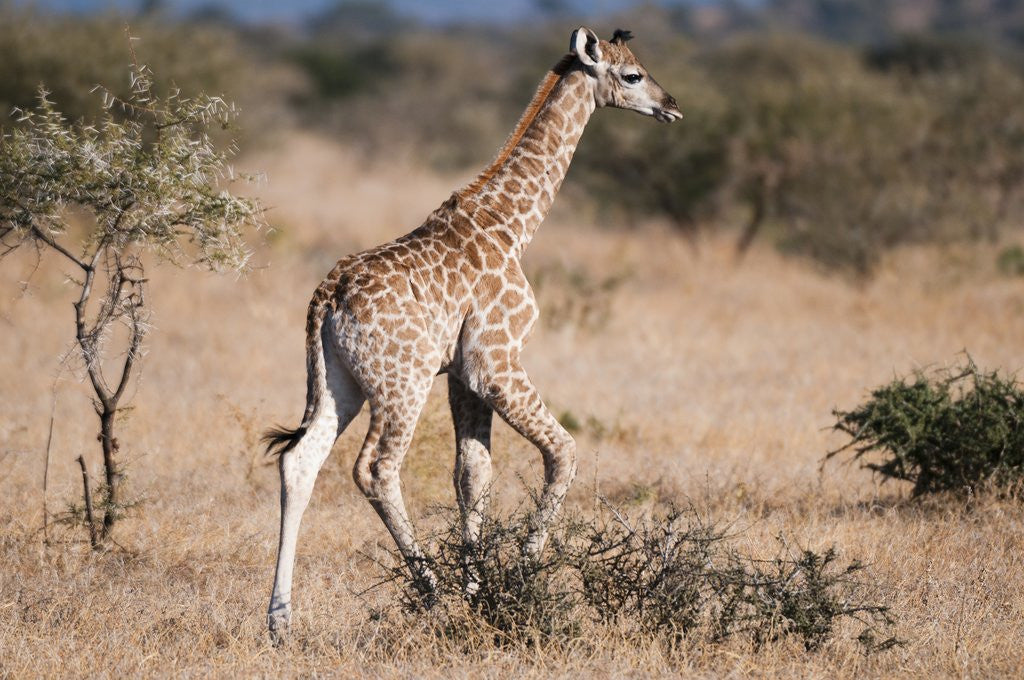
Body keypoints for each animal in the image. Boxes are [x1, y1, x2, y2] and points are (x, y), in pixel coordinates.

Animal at [263, 26, 681, 642]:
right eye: (632, 75)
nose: (671, 105)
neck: (512, 224)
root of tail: (328, 297)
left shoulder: (461, 374)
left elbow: (472, 473)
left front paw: (478, 591)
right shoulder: (496, 359)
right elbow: (562, 450)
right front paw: (521, 577)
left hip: (340, 382)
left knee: (300, 460)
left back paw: (281, 621)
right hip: (402, 382)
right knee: (376, 468)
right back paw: (429, 593)